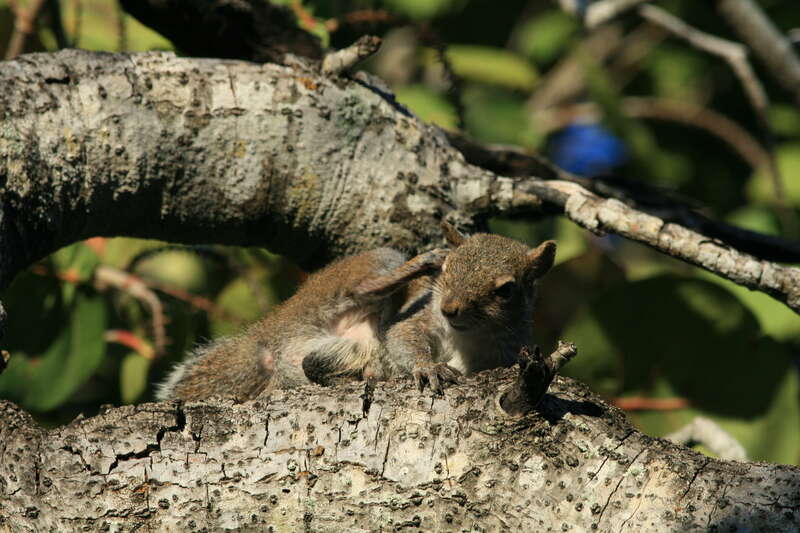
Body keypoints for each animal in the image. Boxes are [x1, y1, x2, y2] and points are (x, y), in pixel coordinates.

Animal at [156, 223, 556, 401]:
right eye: (448, 270)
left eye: (506, 290)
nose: (449, 309)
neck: (469, 337)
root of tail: (270, 331)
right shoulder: (417, 317)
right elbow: (403, 336)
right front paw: (428, 367)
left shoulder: (506, 352)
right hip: (353, 278)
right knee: (360, 290)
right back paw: (417, 262)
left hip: (338, 348)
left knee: (311, 365)